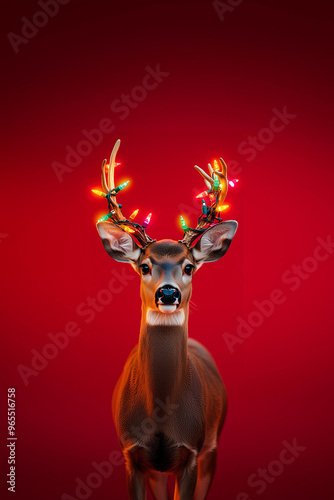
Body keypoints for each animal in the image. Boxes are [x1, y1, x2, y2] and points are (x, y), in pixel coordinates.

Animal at [94, 139, 237, 498]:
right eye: (144, 266)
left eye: (189, 266)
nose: (168, 293)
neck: (159, 416)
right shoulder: (131, 454)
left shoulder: (192, 452)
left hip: (213, 446)